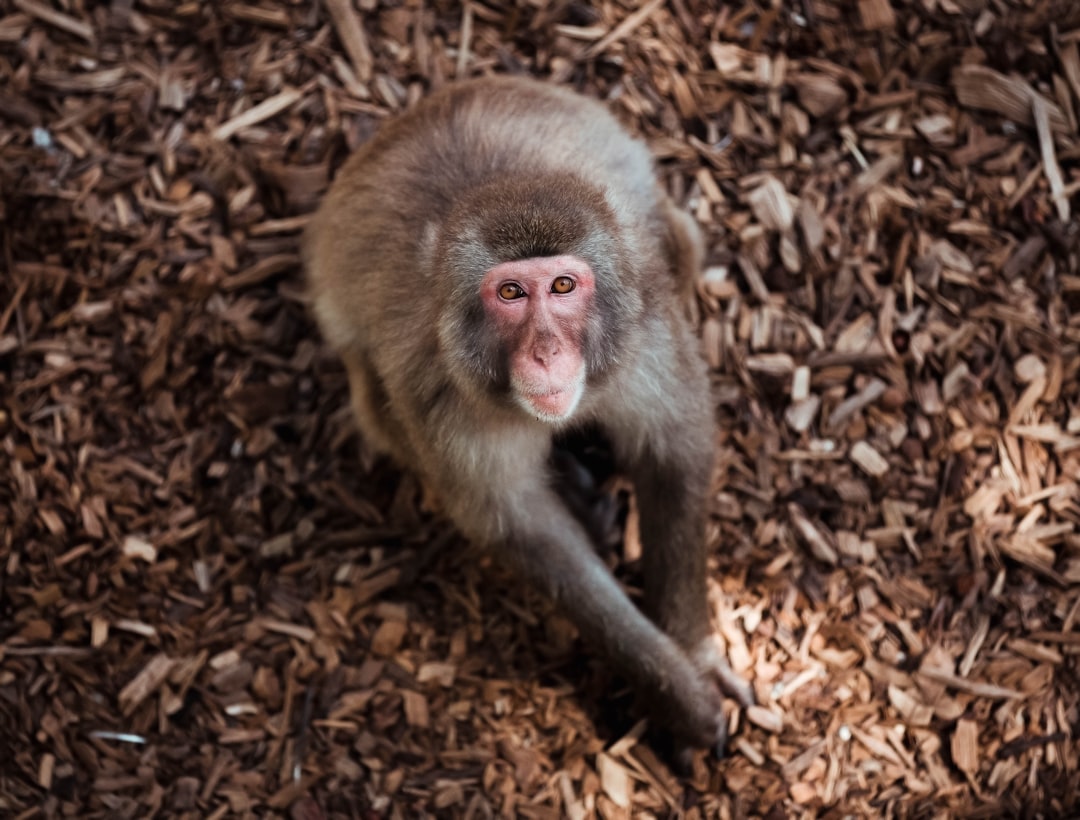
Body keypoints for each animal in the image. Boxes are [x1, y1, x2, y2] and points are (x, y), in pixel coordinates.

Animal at [304, 76, 751, 756]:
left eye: (563, 286)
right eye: (511, 293)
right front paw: (677, 693)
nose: (546, 351)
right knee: (378, 413)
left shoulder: (642, 333)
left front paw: (693, 651)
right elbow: (523, 526)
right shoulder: (441, 396)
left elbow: (673, 448)